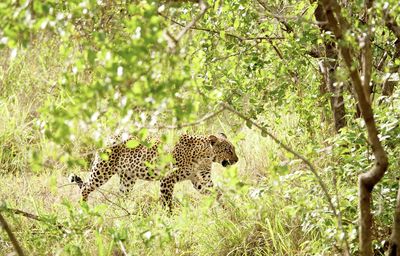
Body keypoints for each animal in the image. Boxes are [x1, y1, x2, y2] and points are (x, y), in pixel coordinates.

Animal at [69, 133, 239, 209]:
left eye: (233, 149)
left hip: (128, 178)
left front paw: (227, 207)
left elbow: (215, 192)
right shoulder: (167, 179)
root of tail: (107, 137)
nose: (237, 160)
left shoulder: (200, 179)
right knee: (85, 187)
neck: (204, 156)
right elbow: (167, 201)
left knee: (122, 194)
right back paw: (83, 208)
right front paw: (169, 218)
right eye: (228, 150)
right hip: (102, 171)